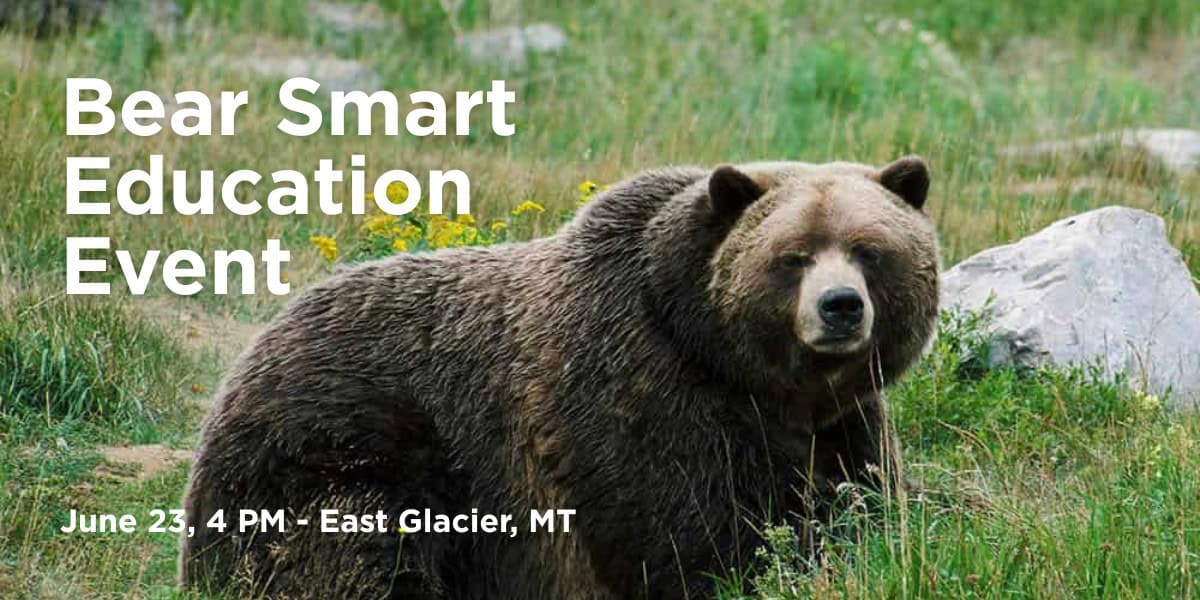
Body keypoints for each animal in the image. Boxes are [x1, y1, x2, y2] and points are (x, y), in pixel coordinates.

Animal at [179, 156, 940, 599]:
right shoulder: (638, 389)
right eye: (794, 255)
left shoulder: (841, 422)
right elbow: (687, 529)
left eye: (870, 250)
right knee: (352, 543)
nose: (840, 307)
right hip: (336, 443)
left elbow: (860, 504)